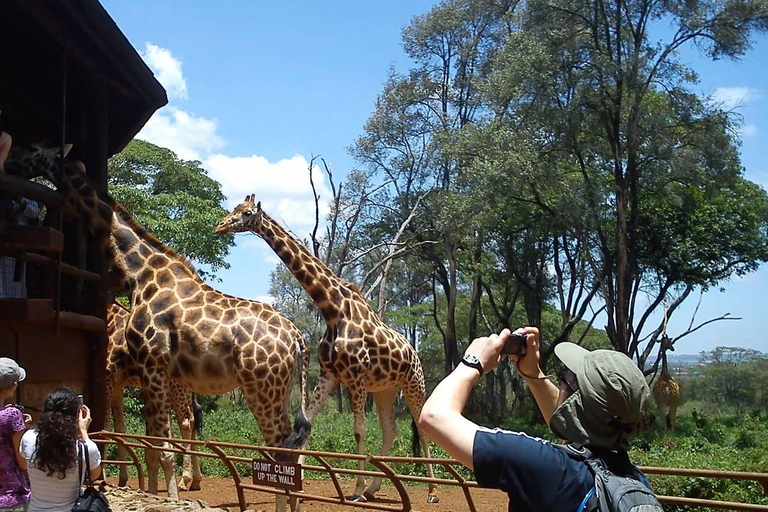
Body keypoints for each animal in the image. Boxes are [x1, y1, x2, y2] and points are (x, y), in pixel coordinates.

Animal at [108, 300, 206, 492]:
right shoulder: (117, 385)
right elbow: (119, 428)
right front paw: (122, 479)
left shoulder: (107, 378)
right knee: (191, 418)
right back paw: (196, 480)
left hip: (176, 385)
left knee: (186, 421)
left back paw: (185, 479)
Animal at [214, 195, 438, 504]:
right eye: (234, 209)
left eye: (246, 213)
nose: (220, 225)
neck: (334, 310)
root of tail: (414, 353)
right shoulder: (330, 374)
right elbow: (306, 424)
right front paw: (299, 482)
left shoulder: (355, 377)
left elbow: (358, 431)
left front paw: (354, 490)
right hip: (386, 389)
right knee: (390, 429)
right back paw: (374, 488)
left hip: (414, 382)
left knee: (422, 430)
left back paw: (431, 491)